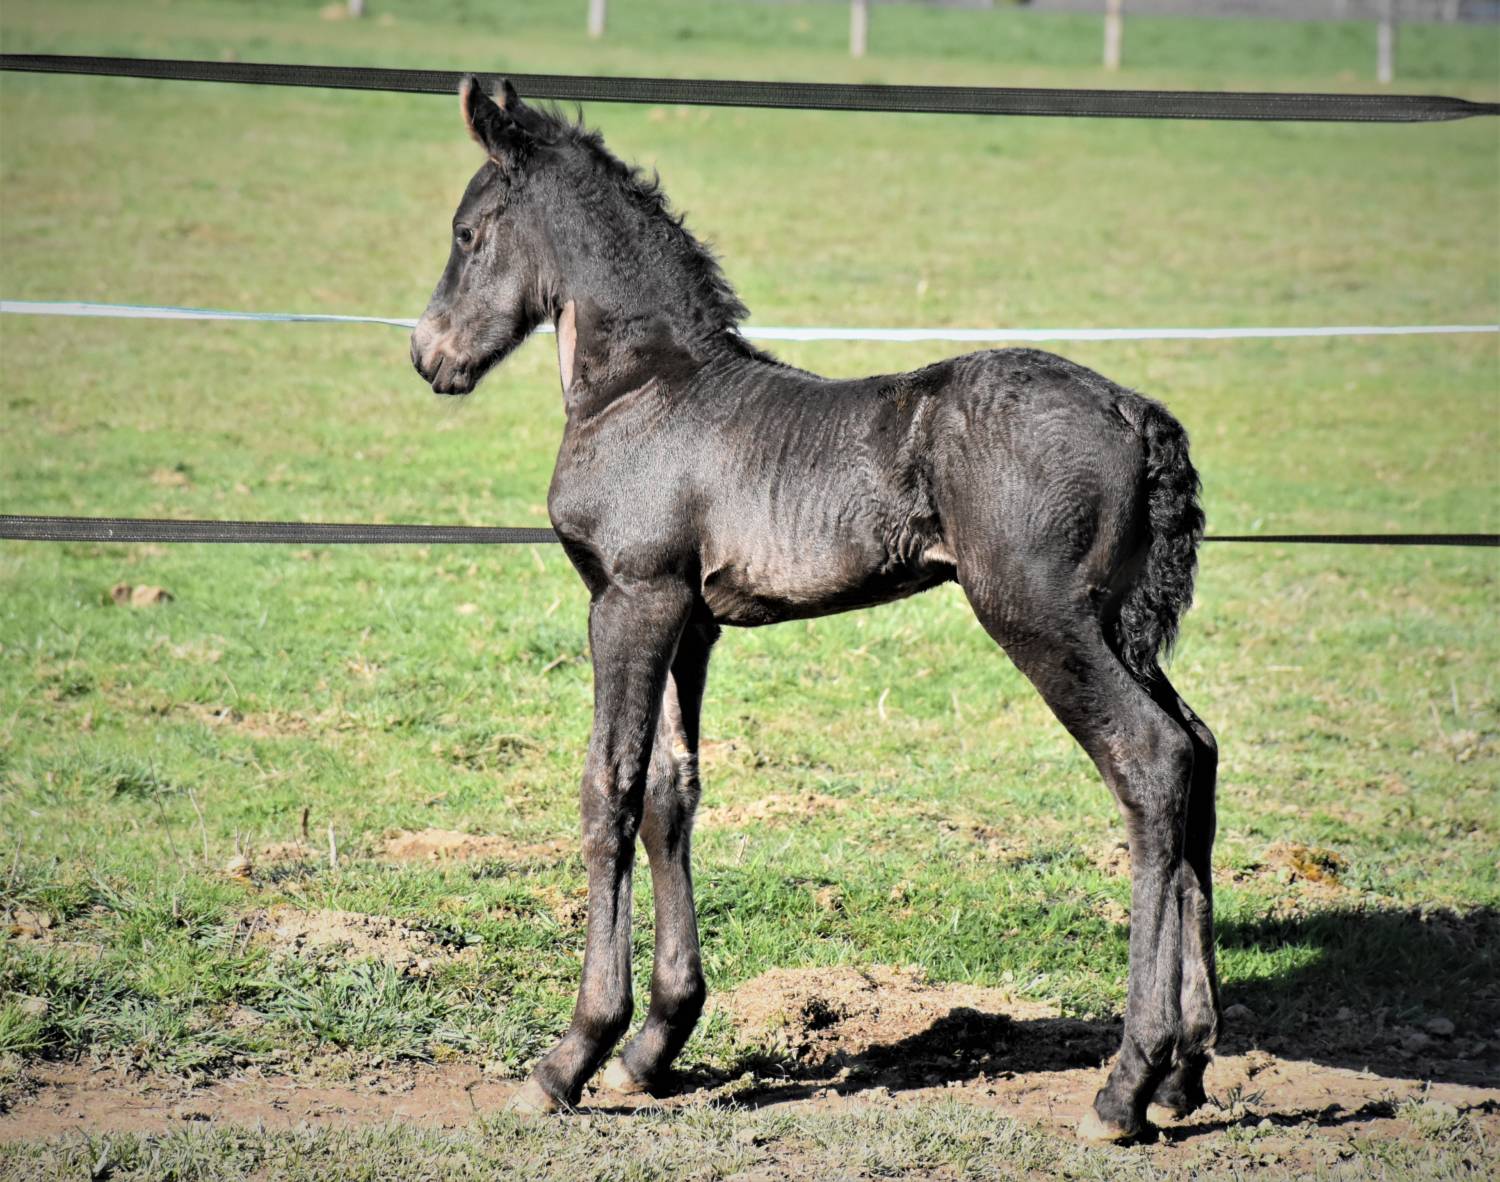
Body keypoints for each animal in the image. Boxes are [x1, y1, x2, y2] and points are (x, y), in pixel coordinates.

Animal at [410, 77, 1219, 1143]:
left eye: (467, 233)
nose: (428, 356)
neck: (641, 388)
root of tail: (1138, 416)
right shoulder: (692, 619)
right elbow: (671, 793)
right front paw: (653, 1047)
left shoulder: (629, 596)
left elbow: (608, 792)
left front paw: (571, 1056)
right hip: (1118, 625)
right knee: (1200, 753)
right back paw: (1186, 1073)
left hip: (1042, 618)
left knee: (1152, 762)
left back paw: (1127, 1083)